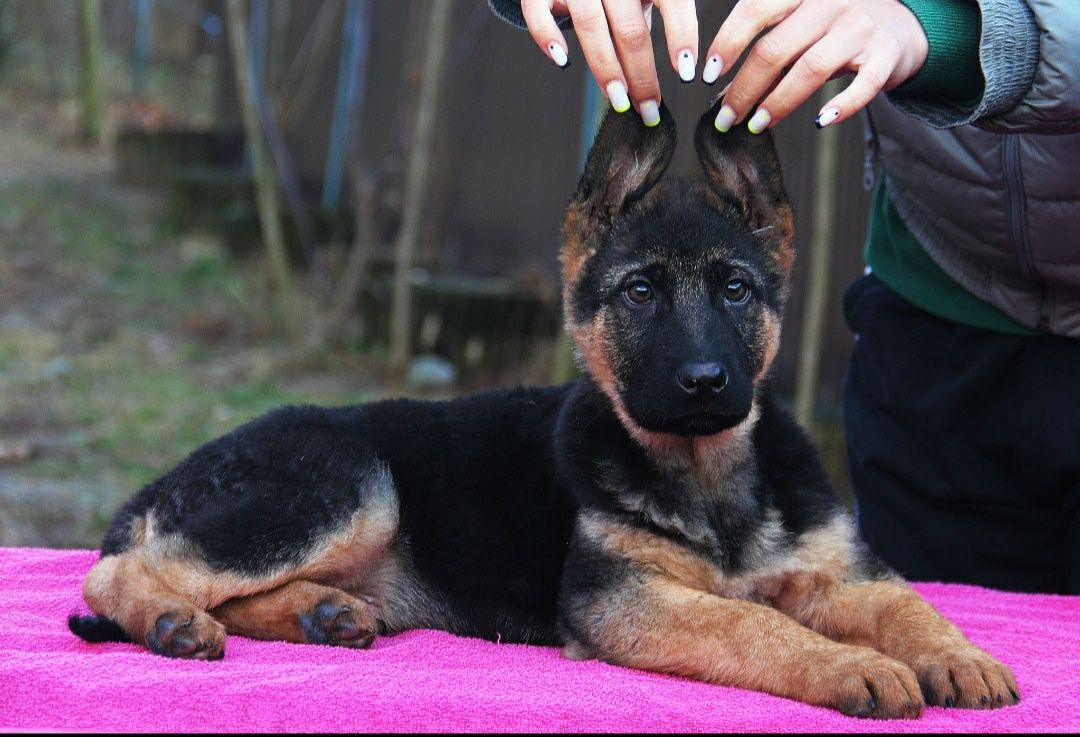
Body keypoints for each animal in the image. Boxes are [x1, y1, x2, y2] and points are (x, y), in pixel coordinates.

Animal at [71, 100, 1015, 713]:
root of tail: (168, 477)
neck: (709, 471)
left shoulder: (841, 570)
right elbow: (748, 619)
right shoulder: (624, 597)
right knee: (120, 570)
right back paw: (173, 619)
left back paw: (323, 611)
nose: (706, 381)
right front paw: (849, 665)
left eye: (737, 290)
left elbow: (907, 603)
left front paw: (961, 657)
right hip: (350, 480)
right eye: (640, 292)